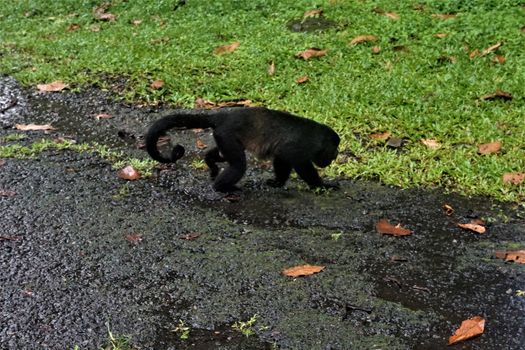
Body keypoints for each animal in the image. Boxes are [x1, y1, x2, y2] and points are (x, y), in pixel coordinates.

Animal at [144, 107, 340, 193]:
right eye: (335, 149)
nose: (337, 154)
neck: (317, 140)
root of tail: (222, 116)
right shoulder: (301, 147)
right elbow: (300, 165)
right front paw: (322, 185)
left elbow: (281, 159)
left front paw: (277, 182)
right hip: (227, 135)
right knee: (238, 164)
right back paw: (223, 187)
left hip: (222, 136)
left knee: (223, 155)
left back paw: (211, 161)